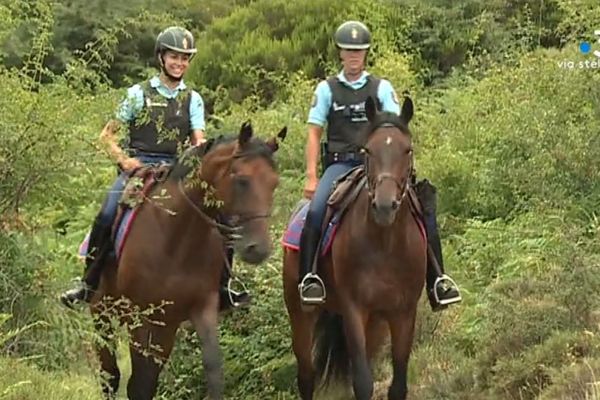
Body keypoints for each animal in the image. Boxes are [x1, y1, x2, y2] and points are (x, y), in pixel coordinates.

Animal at [89, 122, 286, 400]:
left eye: (274, 184)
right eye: (241, 180)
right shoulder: (143, 318)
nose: (258, 249)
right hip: (103, 312)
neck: (177, 238)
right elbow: (138, 384)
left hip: (164, 328)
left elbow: (213, 371)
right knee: (110, 374)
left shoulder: (200, 308)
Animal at [282, 97, 426, 400]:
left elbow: (398, 385)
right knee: (306, 376)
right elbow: (362, 382)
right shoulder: (354, 310)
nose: (385, 206)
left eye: (407, 150)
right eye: (368, 150)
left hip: (376, 323)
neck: (385, 245)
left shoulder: (403, 312)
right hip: (301, 313)